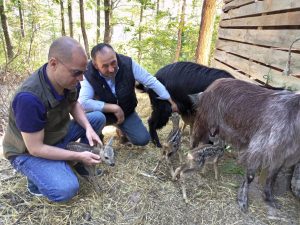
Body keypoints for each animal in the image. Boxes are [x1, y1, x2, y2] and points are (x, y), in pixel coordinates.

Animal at [191, 78, 300, 213]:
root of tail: (212, 86)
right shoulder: (258, 148)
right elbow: (250, 176)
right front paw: (243, 201)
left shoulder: (280, 155)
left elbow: (272, 178)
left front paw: (269, 198)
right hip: (205, 120)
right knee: (194, 138)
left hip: (216, 129)